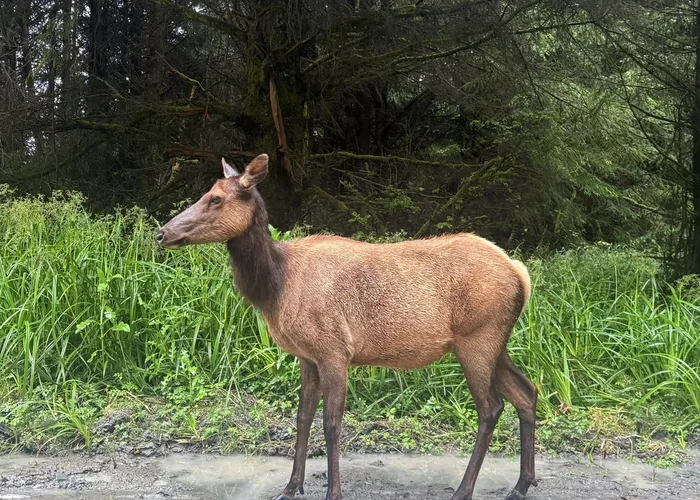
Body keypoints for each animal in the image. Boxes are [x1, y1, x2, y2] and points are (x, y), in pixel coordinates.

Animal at [155, 153, 538, 500]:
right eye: (207, 192)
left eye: (216, 198)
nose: (161, 233)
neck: (276, 287)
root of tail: (521, 275)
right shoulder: (306, 355)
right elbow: (302, 417)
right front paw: (291, 487)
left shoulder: (334, 350)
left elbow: (332, 423)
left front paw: (332, 492)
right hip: (495, 342)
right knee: (526, 392)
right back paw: (522, 484)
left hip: (477, 338)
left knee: (490, 408)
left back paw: (464, 489)